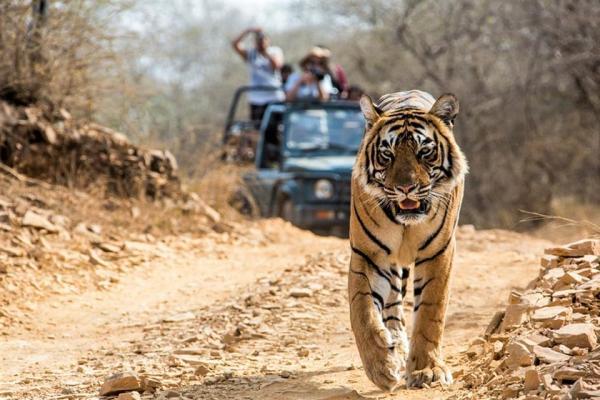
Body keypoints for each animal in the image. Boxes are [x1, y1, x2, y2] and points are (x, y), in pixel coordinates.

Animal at [346, 88, 468, 390]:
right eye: (387, 154)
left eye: (424, 152)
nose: (406, 188)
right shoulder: (368, 254)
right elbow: (362, 310)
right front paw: (381, 366)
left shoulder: (439, 252)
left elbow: (430, 314)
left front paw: (428, 370)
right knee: (392, 305)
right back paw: (396, 346)